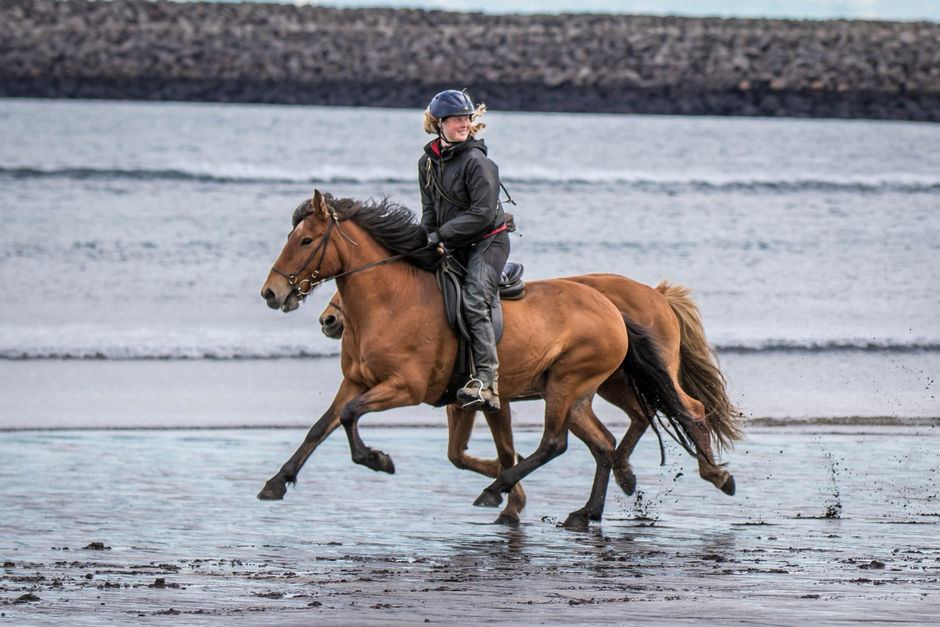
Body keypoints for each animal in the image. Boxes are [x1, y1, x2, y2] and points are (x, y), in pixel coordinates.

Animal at [258, 189, 696, 528]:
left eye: (306, 241)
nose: (271, 293)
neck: (389, 301)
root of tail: (612, 309)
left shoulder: (406, 388)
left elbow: (350, 416)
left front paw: (378, 459)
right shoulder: (359, 382)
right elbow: (321, 427)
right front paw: (278, 481)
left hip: (566, 384)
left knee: (556, 443)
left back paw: (496, 492)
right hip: (579, 394)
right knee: (603, 443)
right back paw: (584, 511)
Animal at [320, 278, 744, 524]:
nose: (329, 320)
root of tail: (657, 295)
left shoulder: (495, 401)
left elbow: (501, 450)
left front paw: (506, 496)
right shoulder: (466, 404)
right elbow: (462, 455)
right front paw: (507, 492)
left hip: (613, 381)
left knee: (683, 410)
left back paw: (713, 474)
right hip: (604, 385)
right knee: (626, 427)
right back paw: (617, 482)